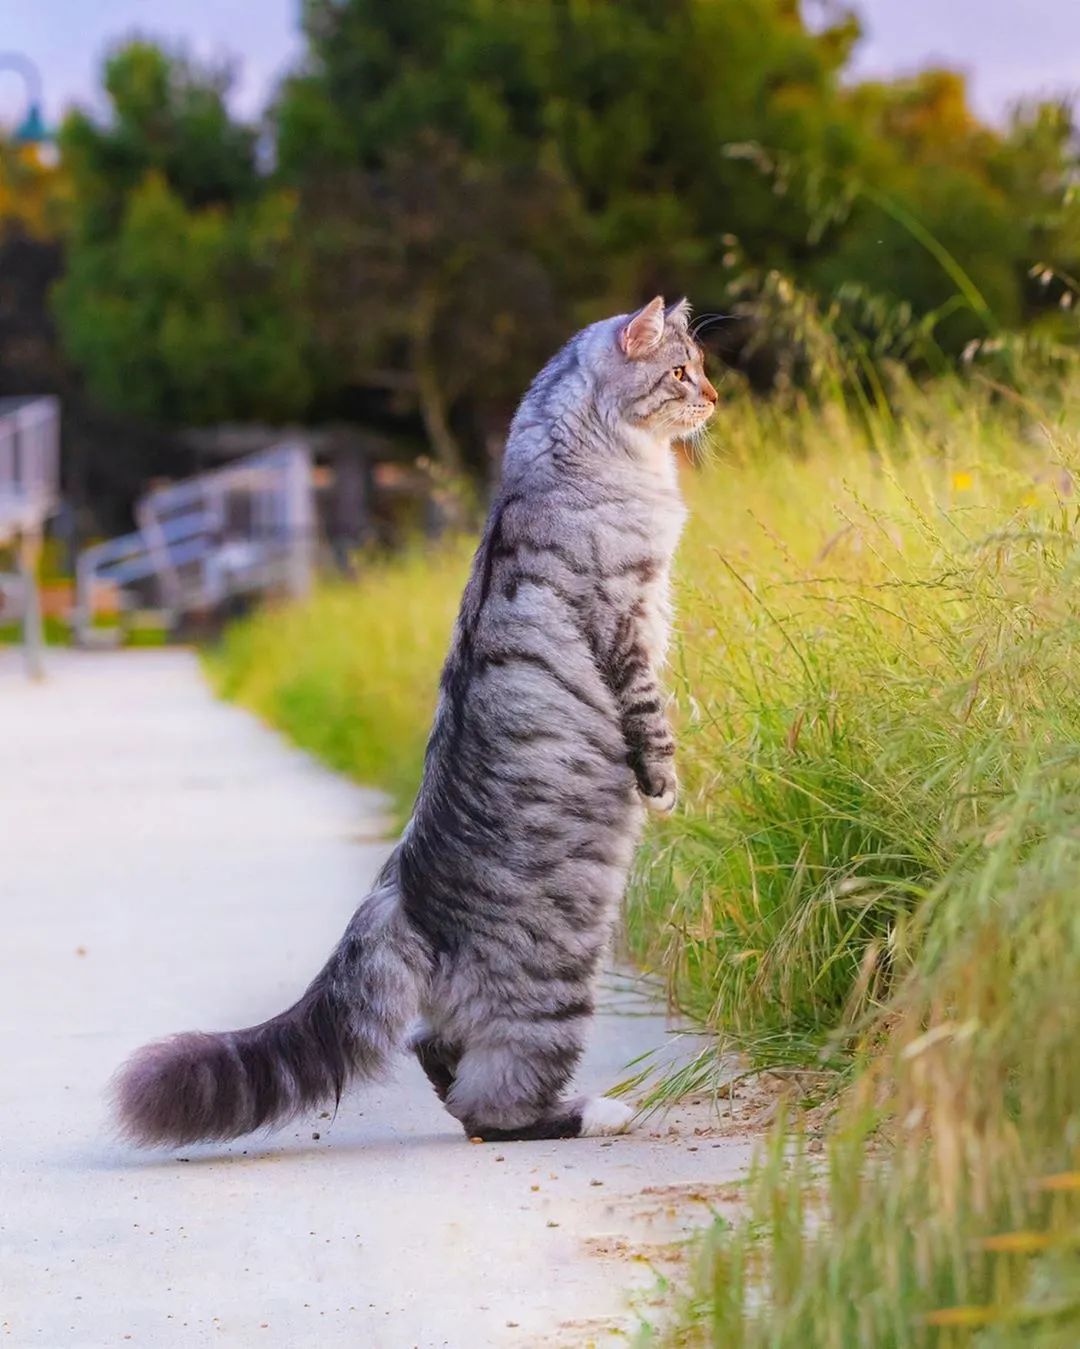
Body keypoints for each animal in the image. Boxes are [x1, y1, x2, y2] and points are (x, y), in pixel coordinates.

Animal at [113, 292, 717, 1138]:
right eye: (681, 372)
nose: (716, 397)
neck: (567, 460)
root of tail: (398, 897)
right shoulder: (624, 623)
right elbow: (650, 715)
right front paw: (664, 786)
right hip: (557, 986)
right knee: (496, 1100)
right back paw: (594, 1112)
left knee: (436, 1054)